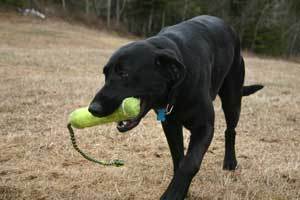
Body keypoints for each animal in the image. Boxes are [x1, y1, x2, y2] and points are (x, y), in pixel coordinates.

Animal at [88, 15, 262, 198]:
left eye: (124, 73)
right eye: (105, 73)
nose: (93, 109)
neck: (176, 82)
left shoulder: (204, 127)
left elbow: (189, 163)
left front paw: (174, 193)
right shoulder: (170, 125)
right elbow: (178, 158)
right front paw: (182, 189)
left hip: (232, 98)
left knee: (230, 130)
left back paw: (230, 161)